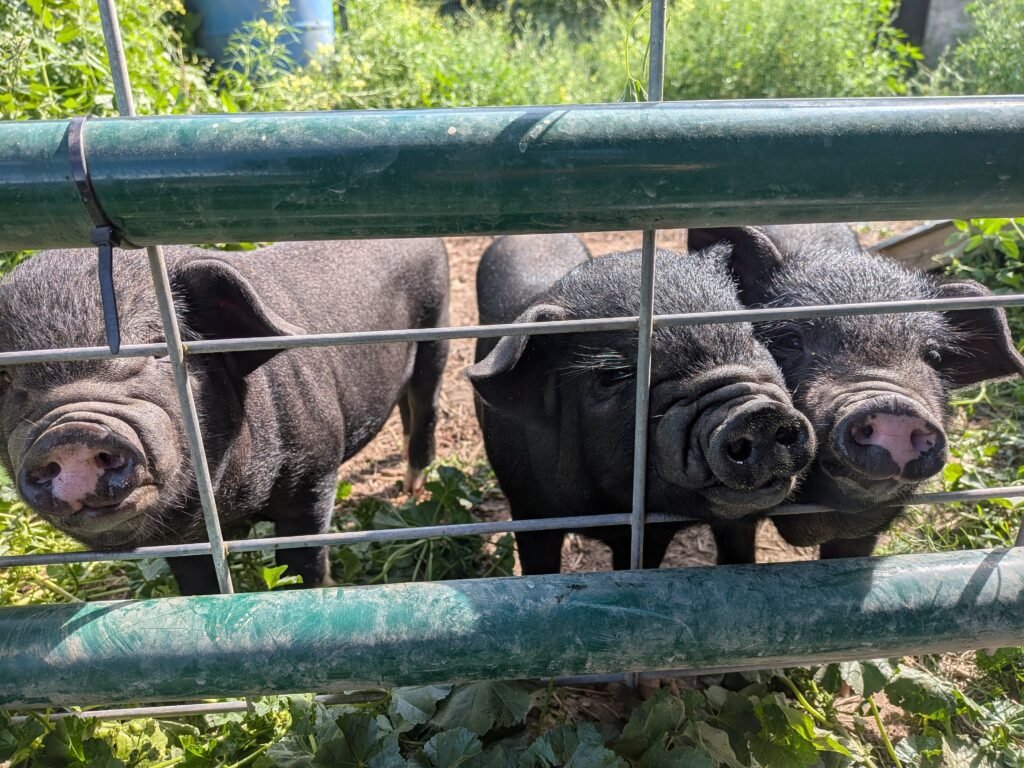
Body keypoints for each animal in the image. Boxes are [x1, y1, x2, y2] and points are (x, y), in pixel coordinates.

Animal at [0, 239, 449, 595]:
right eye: (4, 375)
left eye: (156, 348)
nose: (72, 430)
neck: (234, 504)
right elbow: (197, 583)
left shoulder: (316, 472)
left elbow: (305, 558)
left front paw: (319, 589)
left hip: (436, 324)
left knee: (425, 404)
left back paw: (413, 489)